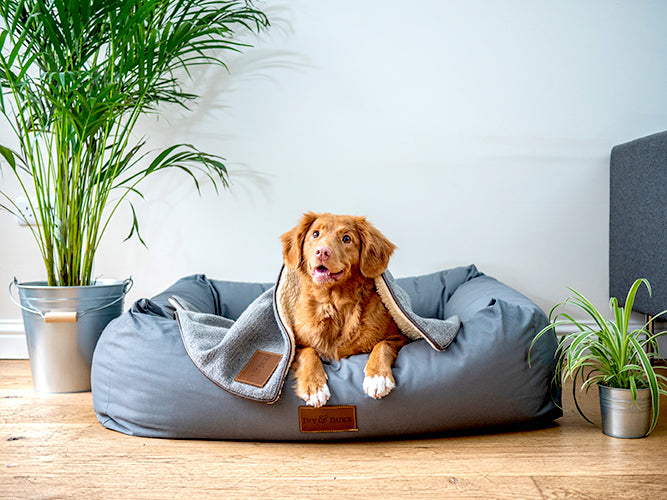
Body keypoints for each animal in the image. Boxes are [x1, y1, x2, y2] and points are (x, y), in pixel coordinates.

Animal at [280, 213, 410, 408]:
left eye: (347, 239)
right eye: (315, 234)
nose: (322, 252)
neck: (334, 302)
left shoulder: (400, 337)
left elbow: (382, 345)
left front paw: (377, 377)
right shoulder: (296, 346)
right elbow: (309, 352)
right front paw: (314, 386)